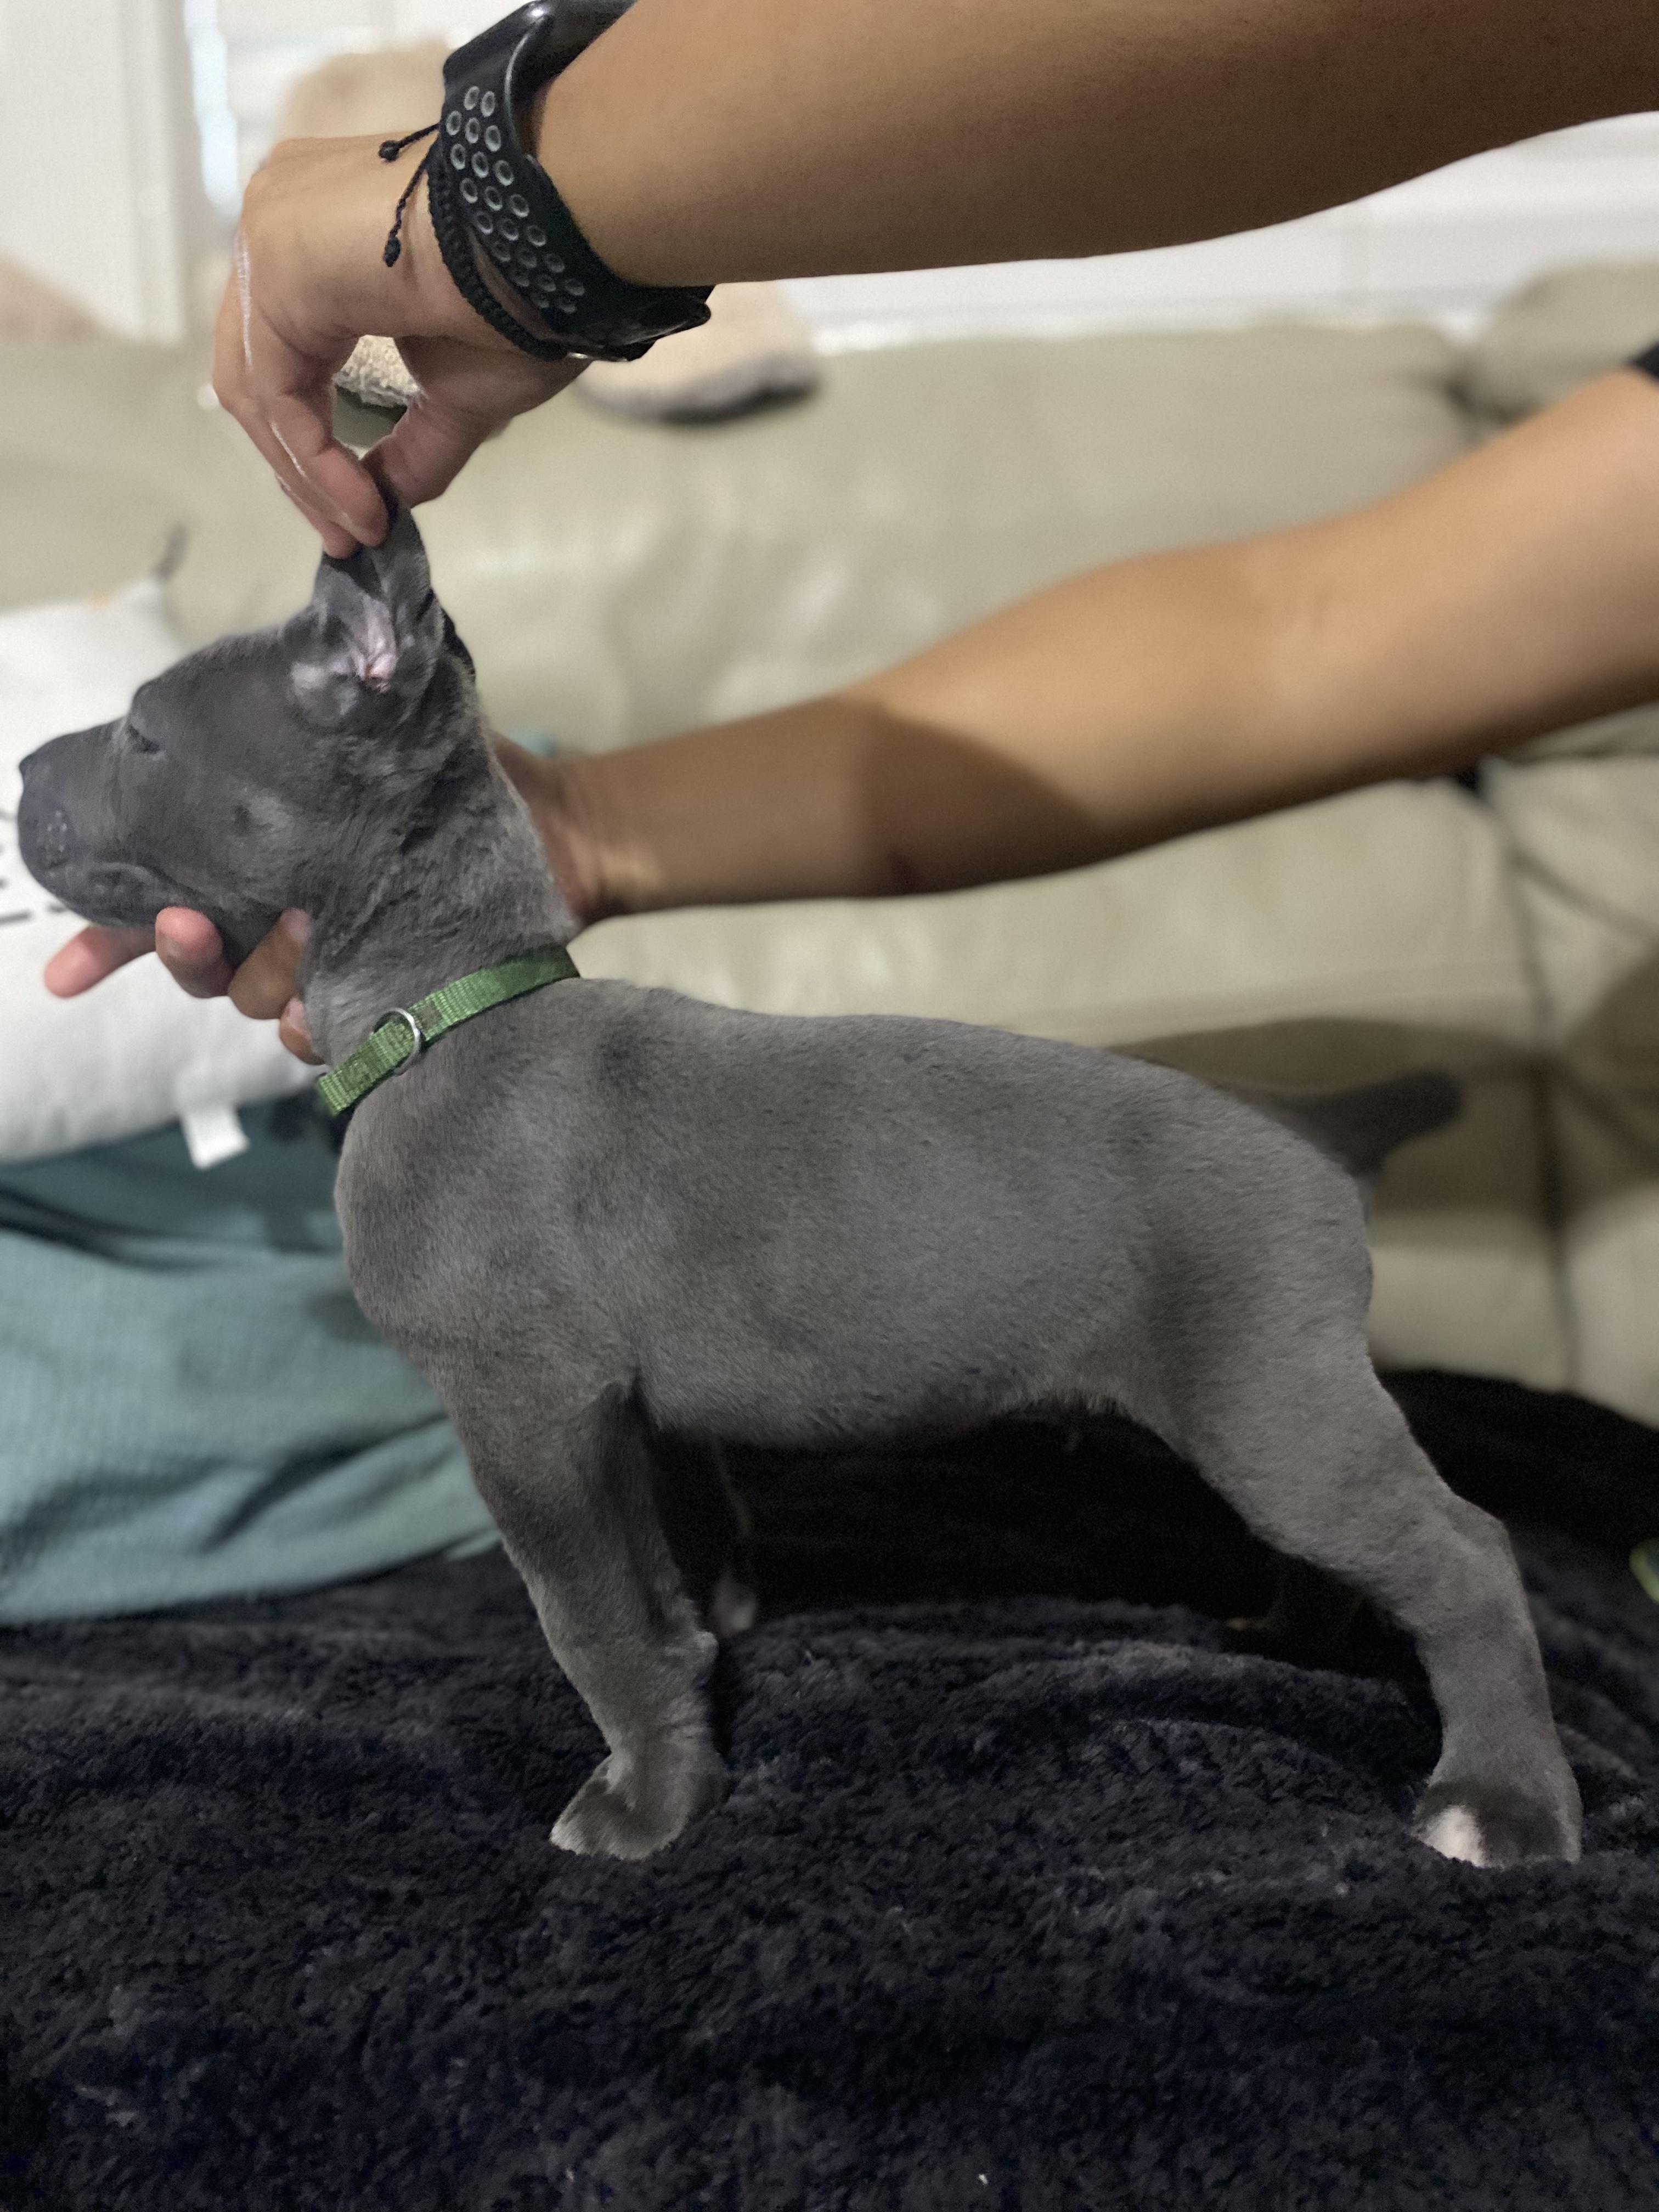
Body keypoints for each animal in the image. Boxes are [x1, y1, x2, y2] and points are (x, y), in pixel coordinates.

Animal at [19, 512, 1582, 1870]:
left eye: (144, 731)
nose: (23, 766)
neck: (447, 1007)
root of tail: (1303, 1123)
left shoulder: (525, 1410)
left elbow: (591, 1623)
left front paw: (647, 1807)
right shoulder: (622, 1417)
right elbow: (667, 1591)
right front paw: (699, 1695)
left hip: (1272, 1397)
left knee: (1465, 1556)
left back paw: (1499, 1803)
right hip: (1268, 1412)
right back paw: (1299, 1639)